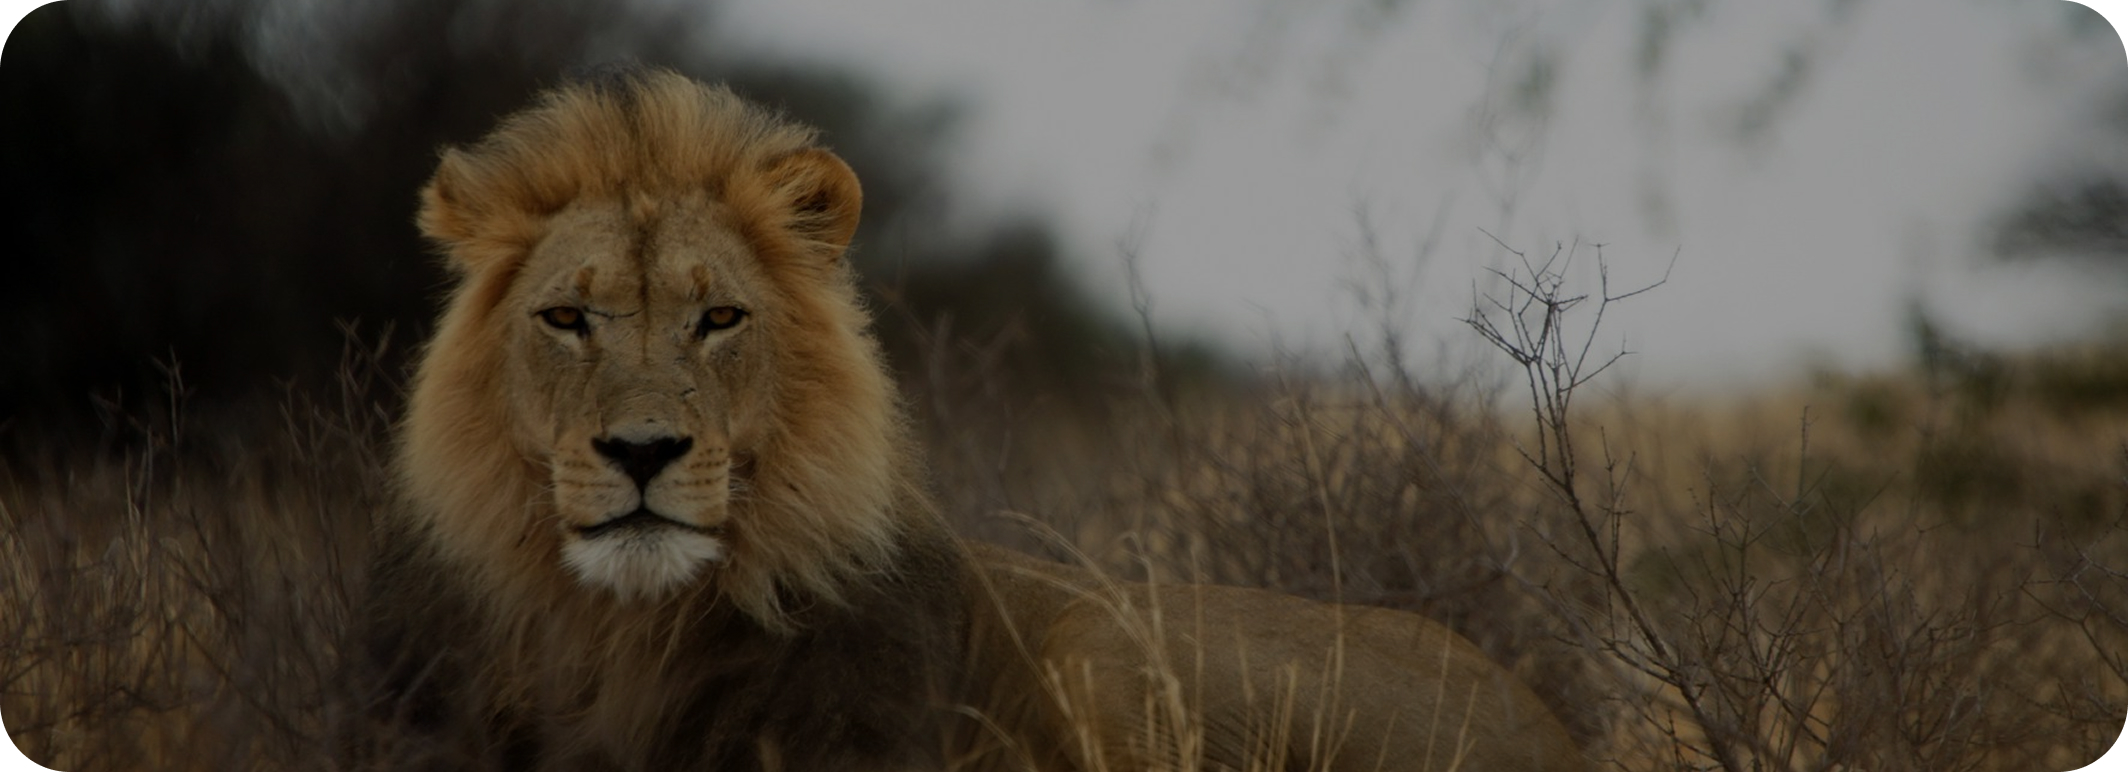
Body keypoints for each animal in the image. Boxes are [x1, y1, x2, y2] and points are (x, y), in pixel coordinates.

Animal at [355, 66, 1586, 772]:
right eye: (567, 317)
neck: (634, 636)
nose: (643, 451)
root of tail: (1547, 725)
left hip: (1106, 645)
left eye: (719, 318)